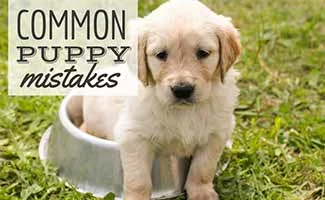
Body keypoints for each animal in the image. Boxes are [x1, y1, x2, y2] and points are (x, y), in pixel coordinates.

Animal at [80, 0, 239, 199]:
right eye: (161, 54)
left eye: (203, 53)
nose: (182, 90)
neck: (184, 111)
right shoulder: (134, 136)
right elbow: (138, 180)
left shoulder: (216, 134)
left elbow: (202, 168)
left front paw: (202, 193)